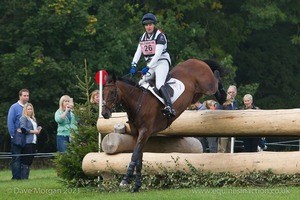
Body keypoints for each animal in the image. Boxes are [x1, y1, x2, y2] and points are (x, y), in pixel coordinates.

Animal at [102, 58, 226, 192]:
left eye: (112, 92)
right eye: (103, 93)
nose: (104, 113)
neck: (138, 101)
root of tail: (197, 60)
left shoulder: (145, 132)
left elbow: (134, 155)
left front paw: (125, 180)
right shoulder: (137, 134)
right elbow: (139, 157)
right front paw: (136, 185)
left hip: (207, 86)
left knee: (216, 81)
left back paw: (223, 95)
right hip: (195, 95)